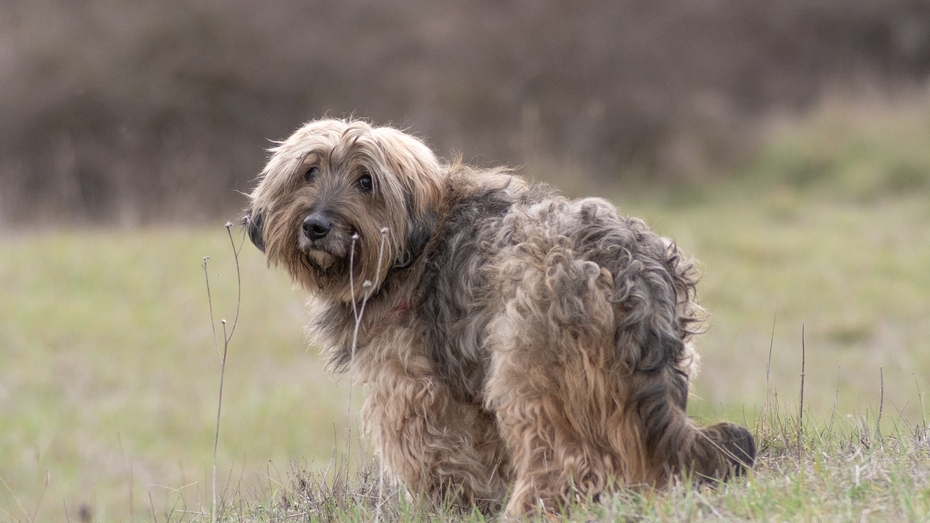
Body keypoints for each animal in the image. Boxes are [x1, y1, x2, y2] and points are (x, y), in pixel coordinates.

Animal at [243, 117, 752, 516]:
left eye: (366, 181)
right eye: (309, 172)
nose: (316, 226)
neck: (413, 245)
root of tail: (624, 261)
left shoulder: (411, 385)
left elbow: (432, 452)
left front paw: (450, 505)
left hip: (530, 371)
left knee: (565, 460)